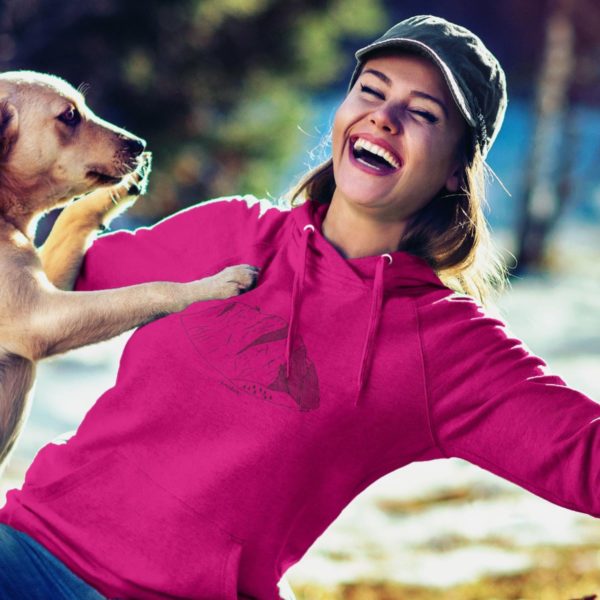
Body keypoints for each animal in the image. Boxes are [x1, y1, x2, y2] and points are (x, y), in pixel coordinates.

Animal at [0, 71, 255, 468]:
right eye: (69, 116)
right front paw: (212, 285)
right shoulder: (38, 316)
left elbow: (71, 217)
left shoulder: (48, 285)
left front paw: (120, 188)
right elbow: (150, 290)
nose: (139, 143)